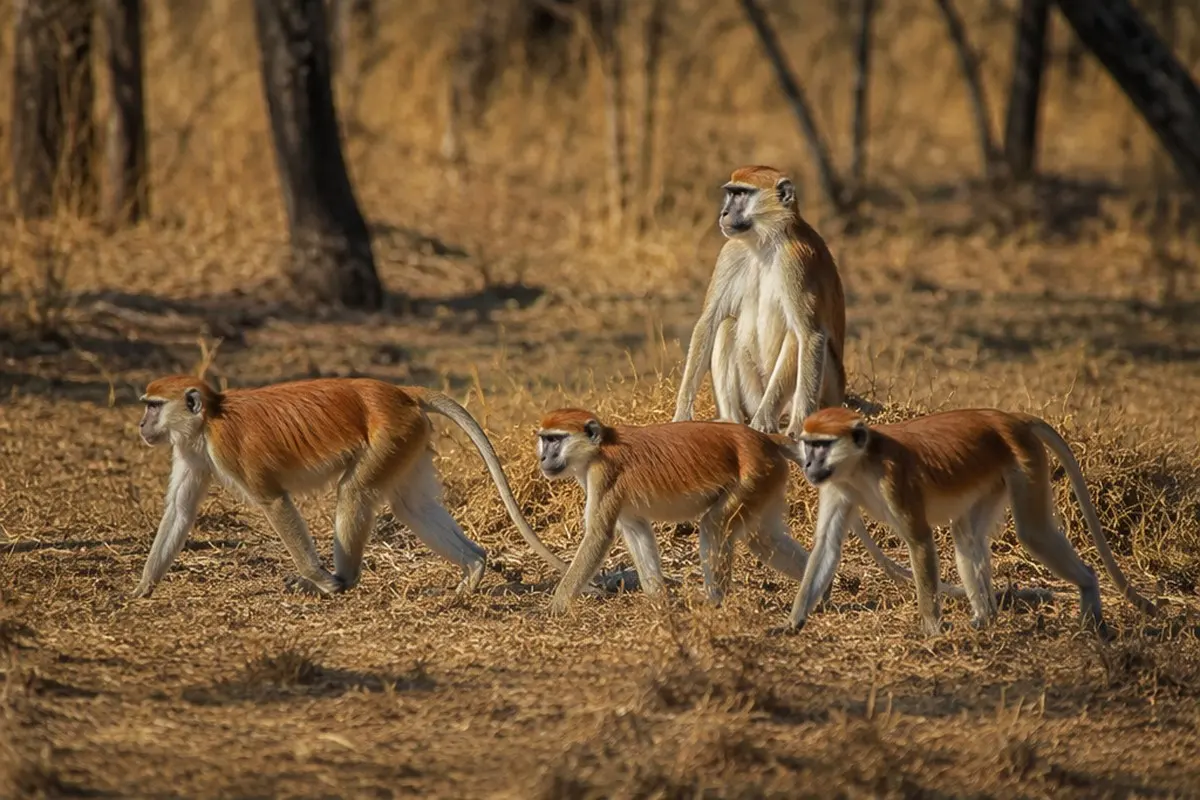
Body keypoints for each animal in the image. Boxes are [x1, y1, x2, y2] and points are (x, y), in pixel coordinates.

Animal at [132, 375, 573, 599]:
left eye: (153, 405)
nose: (141, 424)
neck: (209, 417)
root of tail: (400, 392)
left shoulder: (226, 447)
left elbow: (275, 502)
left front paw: (320, 578)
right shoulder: (190, 450)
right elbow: (180, 511)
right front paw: (141, 589)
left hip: (391, 436)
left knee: (355, 492)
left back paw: (343, 580)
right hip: (407, 439)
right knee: (411, 506)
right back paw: (475, 565)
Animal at [534, 409, 945, 615]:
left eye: (555, 439)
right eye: (544, 439)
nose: (543, 458)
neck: (598, 445)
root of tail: (762, 439)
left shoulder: (604, 474)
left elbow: (599, 536)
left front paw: (555, 606)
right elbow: (636, 530)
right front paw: (660, 603)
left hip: (753, 476)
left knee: (714, 526)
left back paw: (716, 603)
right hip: (767, 480)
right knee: (764, 538)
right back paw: (822, 593)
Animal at [674, 165, 849, 439]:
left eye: (741, 194)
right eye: (731, 193)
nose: (724, 213)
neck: (764, 242)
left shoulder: (795, 260)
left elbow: (811, 335)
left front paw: (798, 427)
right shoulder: (730, 251)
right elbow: (709, 323)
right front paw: (681, 414)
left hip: (827, 389)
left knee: (796, 336)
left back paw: (771, 420)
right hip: (752, 394)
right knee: (726, 325)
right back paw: (731, 419)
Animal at [788, 406, 1159, 638]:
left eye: (822, 445)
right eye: (808, 445)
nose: (808, 465)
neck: (862, 460)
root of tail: (1010, 419)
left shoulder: (893, 478)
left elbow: (919, 540)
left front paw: (931, 630)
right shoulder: (836, 484)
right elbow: (827, 545)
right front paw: (793, 622)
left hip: (1024, 461)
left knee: (1034, 533)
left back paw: (1089, 590)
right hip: (994, 476)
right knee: (966, 534)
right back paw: (985, 618)